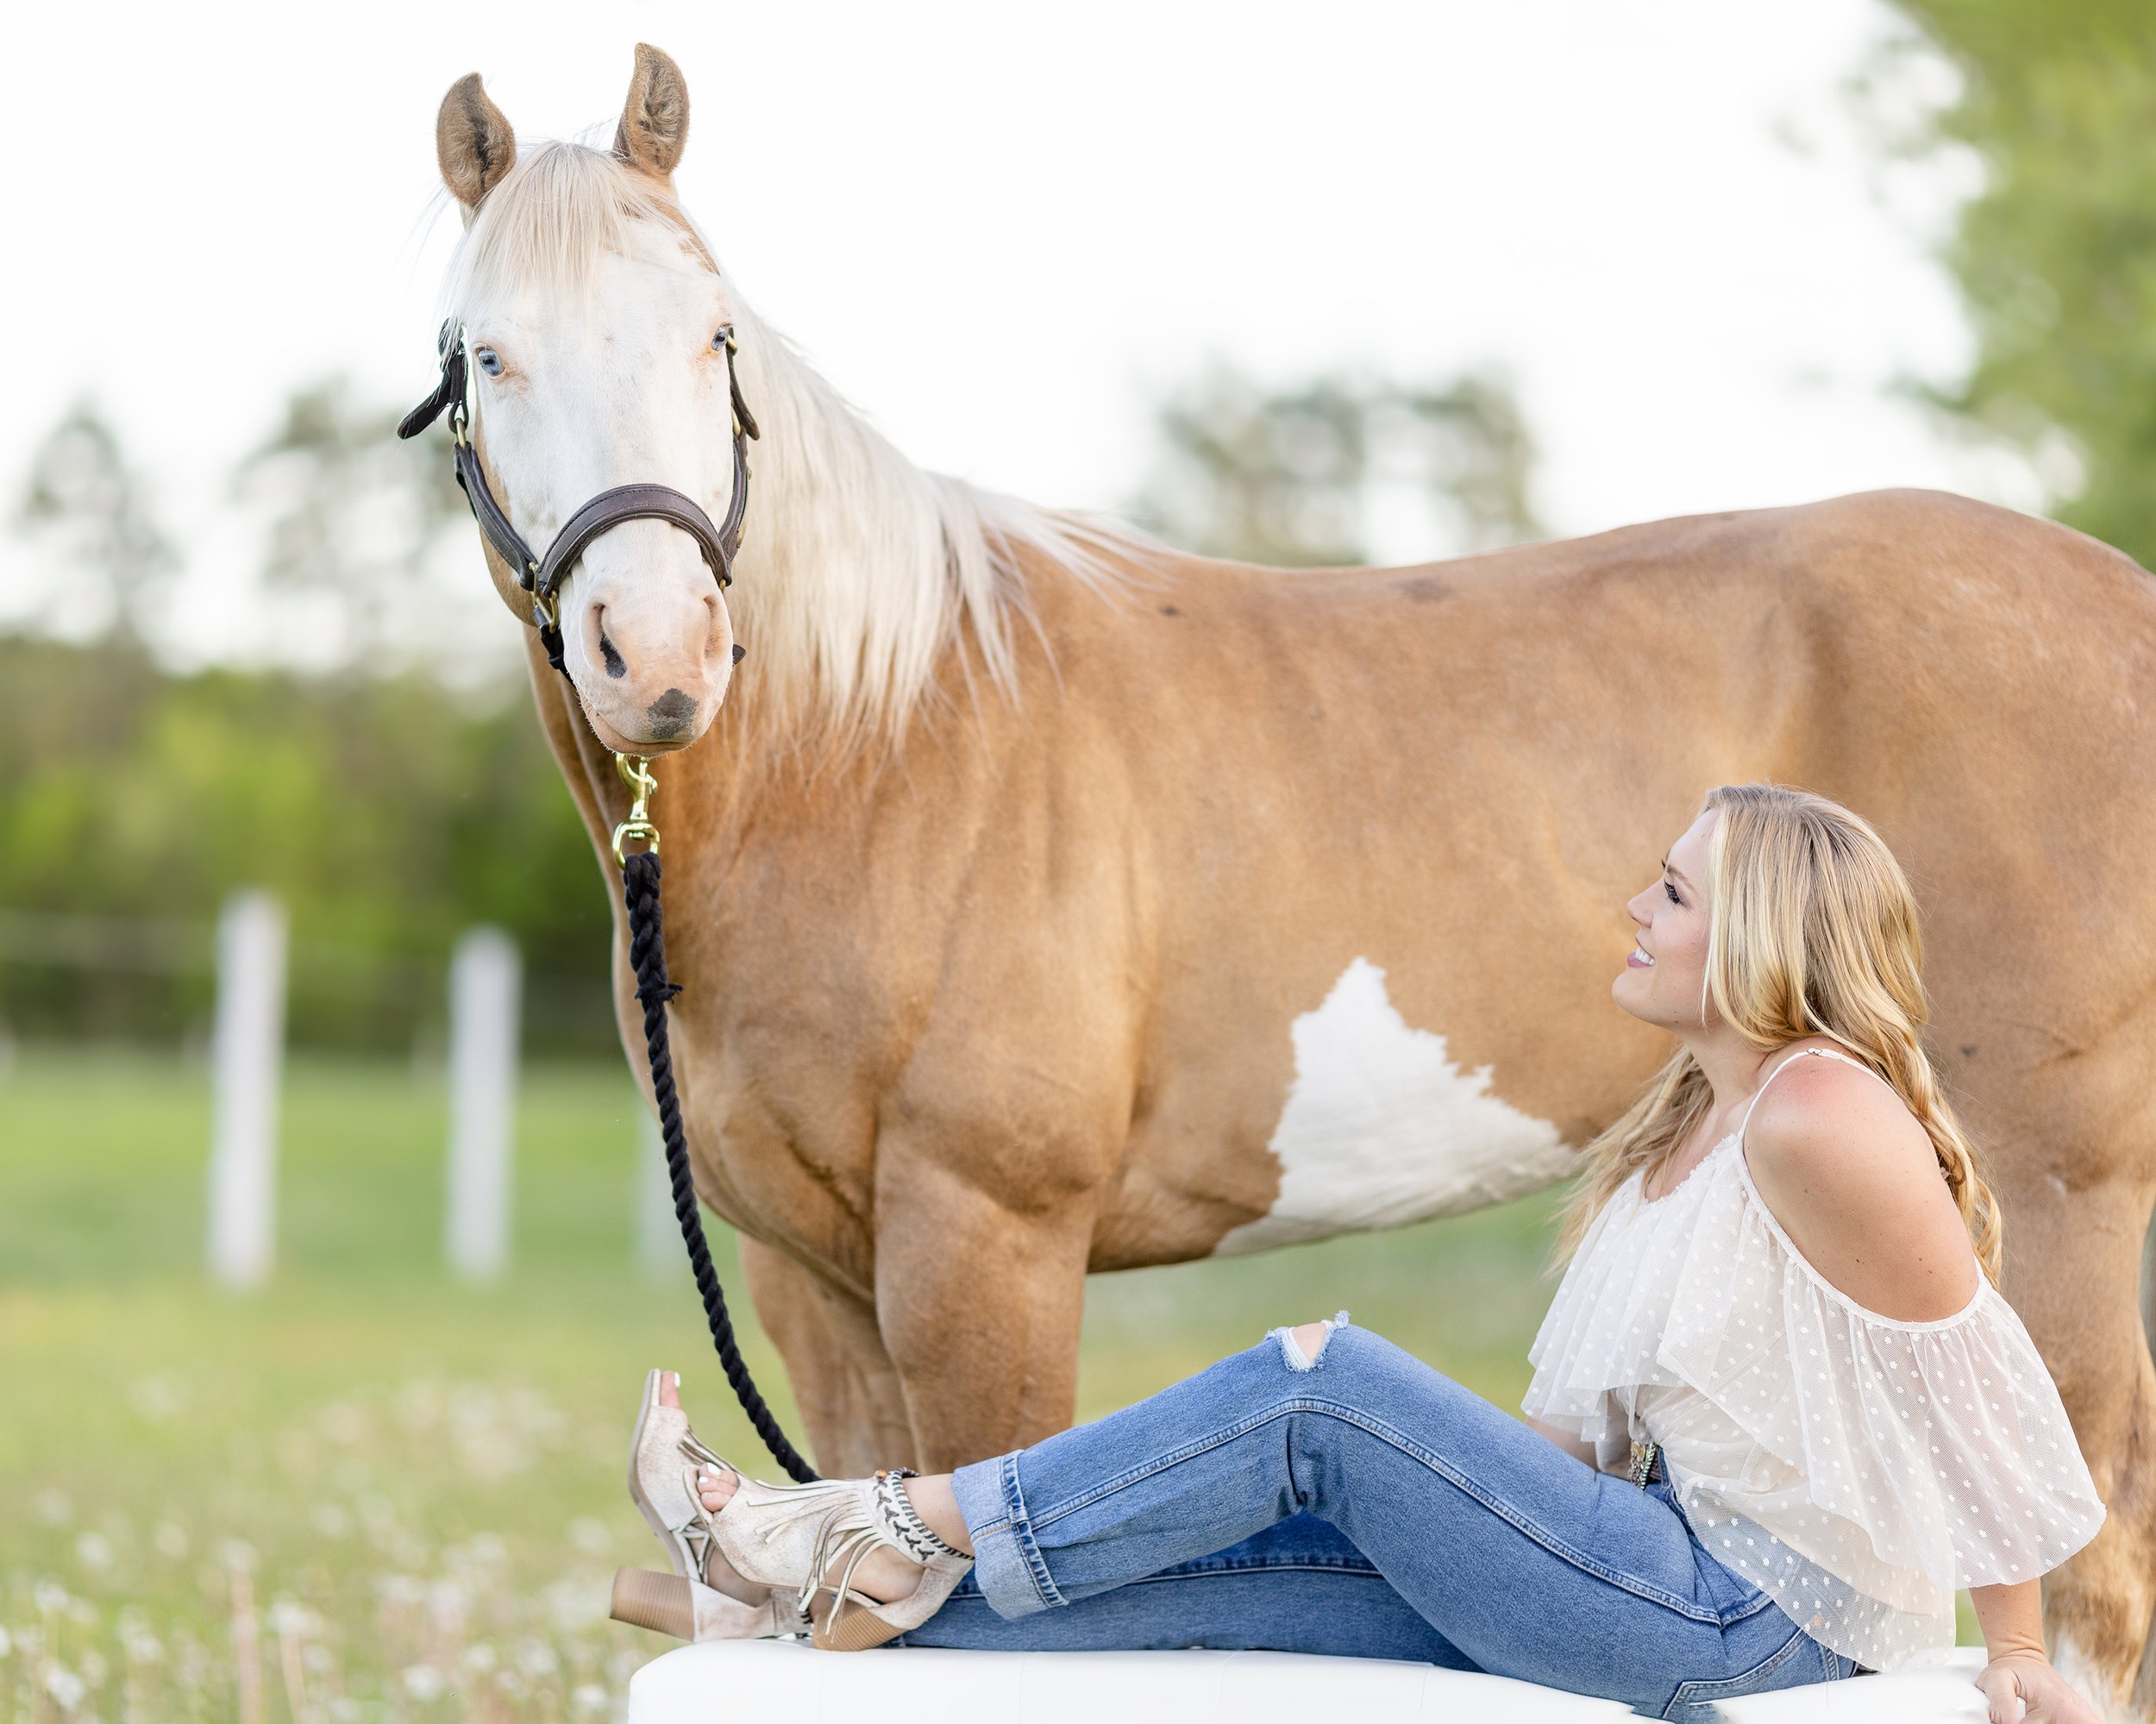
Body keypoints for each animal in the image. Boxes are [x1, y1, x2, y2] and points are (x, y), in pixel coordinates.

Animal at [424, 47, 2156, 1715]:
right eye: (485, 356)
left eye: (714, 336)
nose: (660, 656)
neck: (885, 747)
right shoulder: (809, 1280)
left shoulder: (985, 1243)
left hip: (2045, 1192)